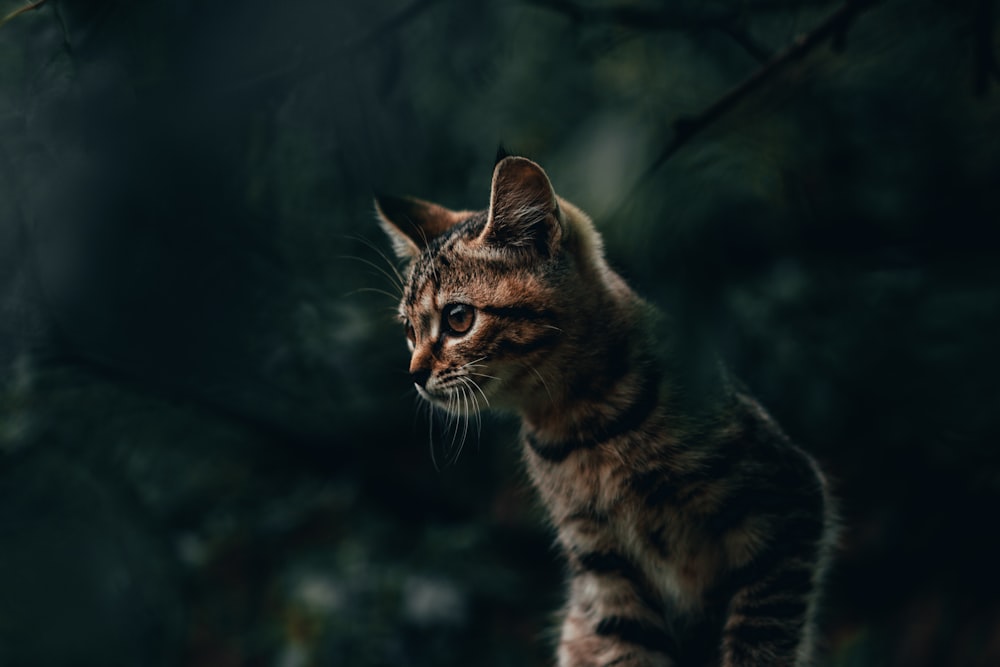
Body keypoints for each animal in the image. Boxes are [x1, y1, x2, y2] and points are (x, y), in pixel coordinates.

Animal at [376, 154, 836, 664]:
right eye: (409, 331)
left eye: (458, 319)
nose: (415, 374)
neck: (582, 426)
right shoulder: (605, 570)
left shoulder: (786, 504)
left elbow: (759, 640)